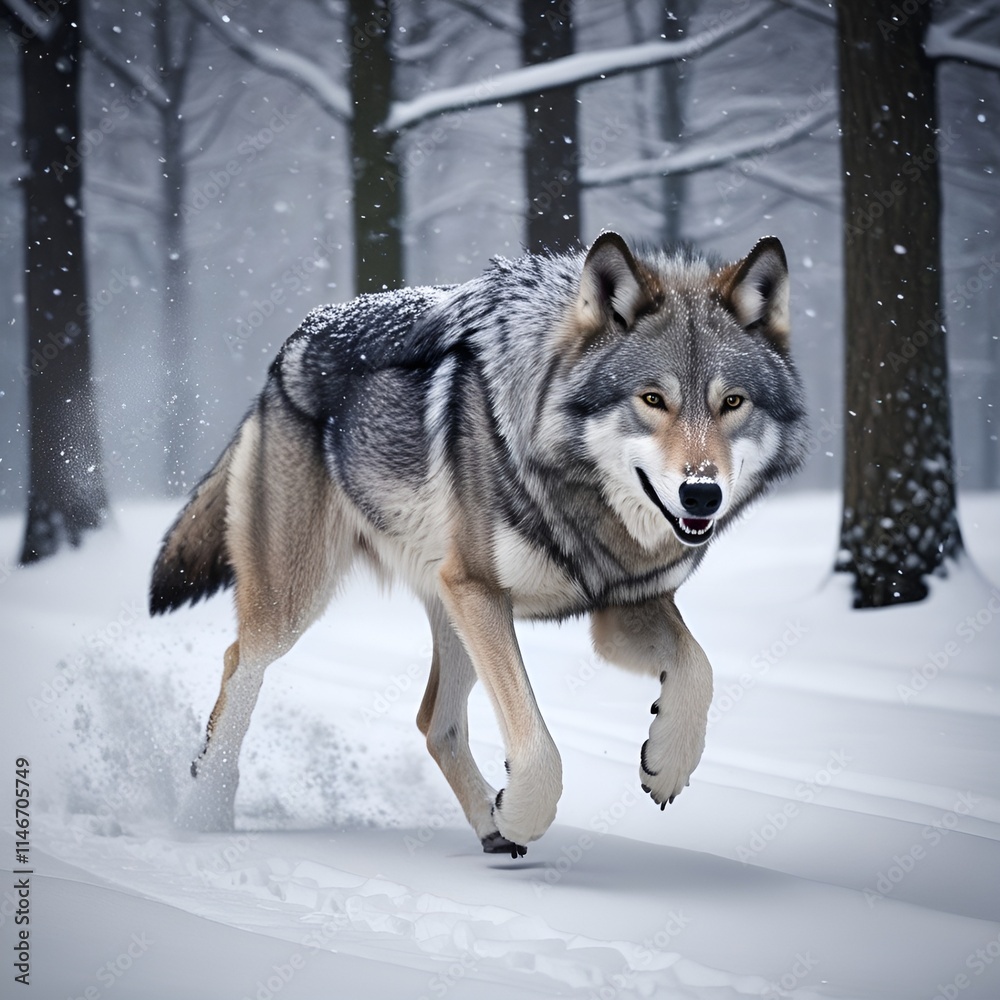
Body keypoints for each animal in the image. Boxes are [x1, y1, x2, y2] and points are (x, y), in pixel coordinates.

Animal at [150, 232, 807, 856]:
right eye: (652, 400)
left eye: (732, 403)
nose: (701, 494)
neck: (573, 489)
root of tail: (294, 339)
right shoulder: (482, 591)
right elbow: (539, 748)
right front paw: (521, 812)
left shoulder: (621, 606)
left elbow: (700, 668)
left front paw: (667, 763)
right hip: (304, 602)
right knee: (239, 662)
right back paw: (204, 810)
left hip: (449, 609)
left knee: (431, 721)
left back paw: (488, 828)